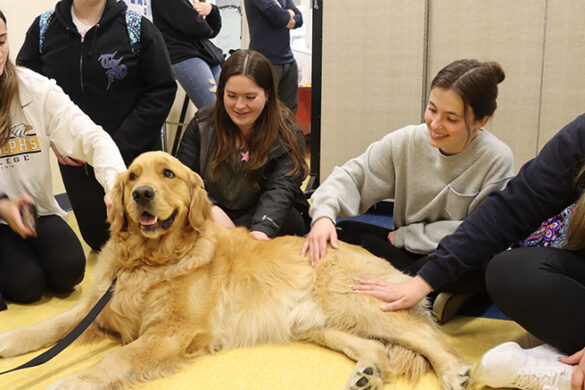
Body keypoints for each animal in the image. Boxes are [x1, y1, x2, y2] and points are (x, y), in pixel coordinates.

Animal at [0, 151, 470, 388]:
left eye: (166, 173)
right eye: (132, 175)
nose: (141, 193)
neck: (151, 261)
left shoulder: (169, 333)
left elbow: (114, 360)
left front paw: (69, 383)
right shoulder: (98, 309)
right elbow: (46, 327)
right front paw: (8, 340)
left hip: (360, 304)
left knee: (429, 337)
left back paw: (455, 372)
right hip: (317, 323)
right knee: (375, 347)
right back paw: (367, 374)